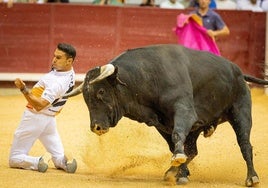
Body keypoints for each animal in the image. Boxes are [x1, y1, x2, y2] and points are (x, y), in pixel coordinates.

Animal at [65, 44, 268, 187]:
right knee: (193, 150)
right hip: (198, 128)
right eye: (86, 97)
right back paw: (177, 172)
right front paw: (178, 171)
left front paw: (177, 166)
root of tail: (239, 72)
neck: (149, 76)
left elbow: (178, 137)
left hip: (241, 112)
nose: (96, 127)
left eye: (101, 92)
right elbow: (177, 146)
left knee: (245, 144)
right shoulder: (161, 123)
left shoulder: (185, 112)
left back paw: (252, 178)